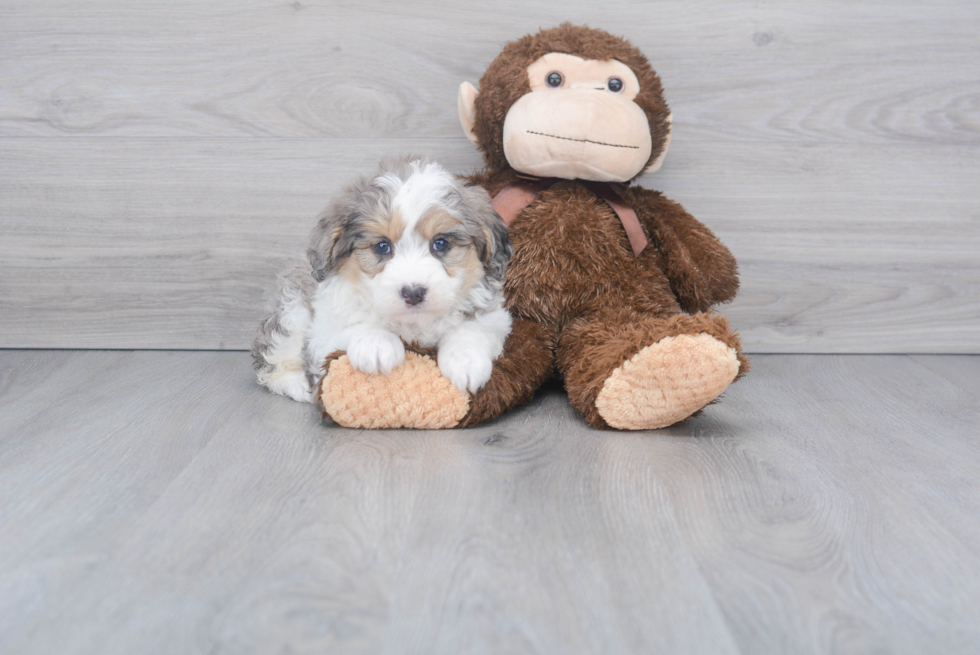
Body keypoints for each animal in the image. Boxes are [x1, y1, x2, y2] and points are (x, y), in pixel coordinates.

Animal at [251, 159, 512, 404]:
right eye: (382, 246)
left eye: (441, 243)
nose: (413, 293)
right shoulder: (323, 332)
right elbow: (353, 323)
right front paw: (375, 344)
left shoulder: (496, 317)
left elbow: (472, 328)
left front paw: (465, 360)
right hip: (291, 313)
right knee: (272, 361)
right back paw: (295, 384)